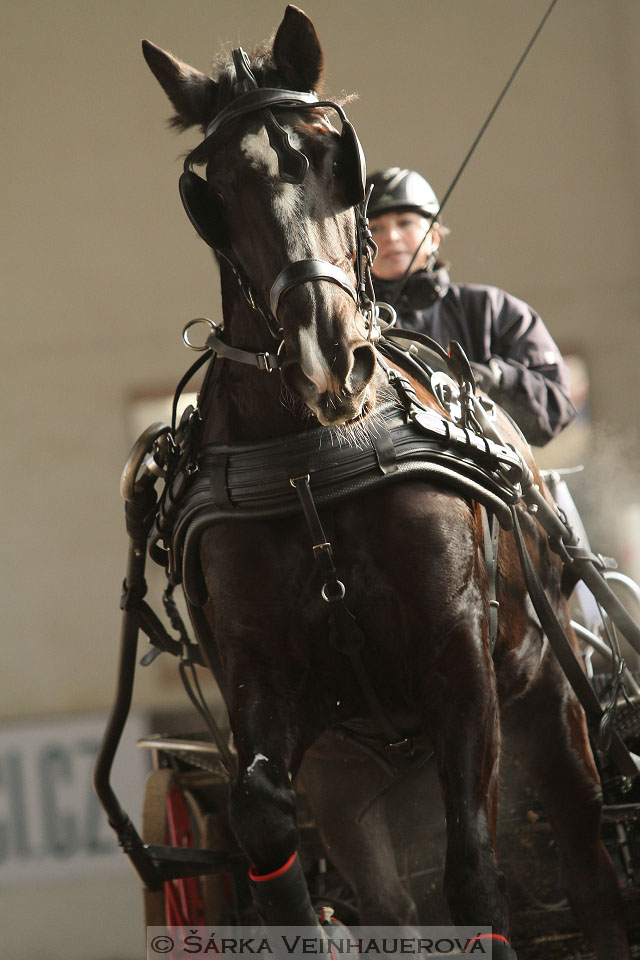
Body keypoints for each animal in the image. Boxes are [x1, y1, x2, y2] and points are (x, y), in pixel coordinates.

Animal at [141, 5, 632, 952]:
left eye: (335, 156)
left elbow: (474, 876)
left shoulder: (459, 663)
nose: (328, 354)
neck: (312, 467)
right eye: (213, 192)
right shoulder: (269, 684)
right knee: (395, 905)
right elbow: (262, 820)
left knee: (593, 879)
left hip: (551, 704)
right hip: (355, 781)